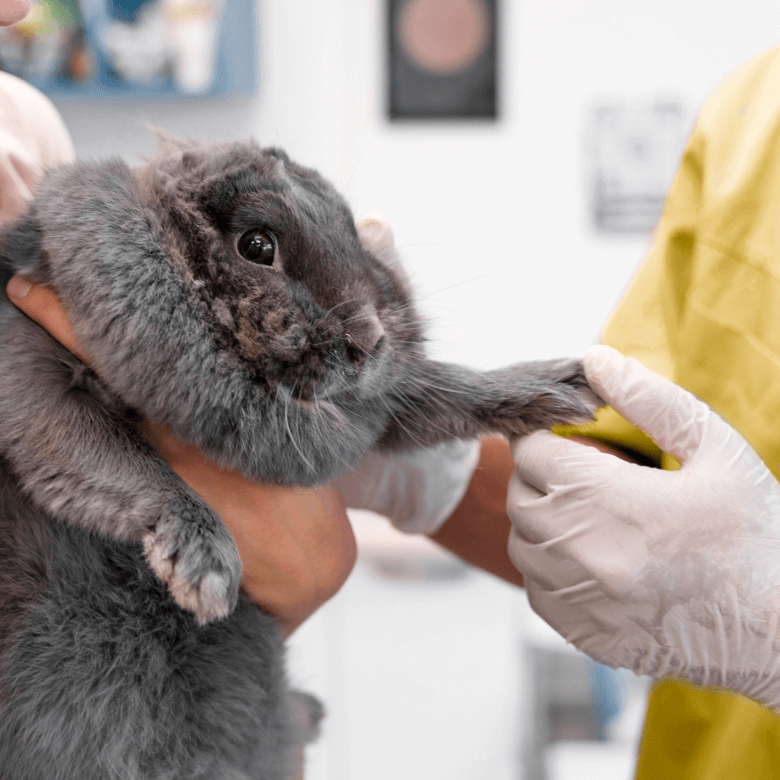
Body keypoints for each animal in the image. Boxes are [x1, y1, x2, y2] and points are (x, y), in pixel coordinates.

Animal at [0, 136, 600, 780]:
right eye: (256, 245)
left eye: (351, 229)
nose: (369, 339)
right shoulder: (38, 379)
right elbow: (120, 462)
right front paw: (205, 566)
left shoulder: (385, 407)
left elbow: (447, 390)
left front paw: (557, 388)